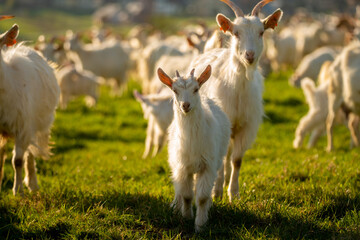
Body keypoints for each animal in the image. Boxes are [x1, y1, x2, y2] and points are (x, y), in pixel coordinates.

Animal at [0, 25, 59, 197]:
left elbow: (17, 161)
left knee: (30, 153)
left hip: (33, 125)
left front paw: (18, 190)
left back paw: (32, 184)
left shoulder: (22, 128)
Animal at [158, 64, 231, 232]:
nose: (185, 105)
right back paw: (175, 206)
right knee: (178, 187)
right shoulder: (183, 167)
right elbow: (186, 195)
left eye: (196, 89)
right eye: (174, 90)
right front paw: (186, 217)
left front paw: (200, 225)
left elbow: (202, 197)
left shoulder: (207, 165)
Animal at [190, 0, 282, 202]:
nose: (250, 55)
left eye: (261, 32)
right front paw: (217, 193)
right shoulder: (224, 123)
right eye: (236, 33)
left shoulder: (247, 126)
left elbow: (237, 160)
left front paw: (234, 194)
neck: (239, 88)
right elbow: (222, 157)